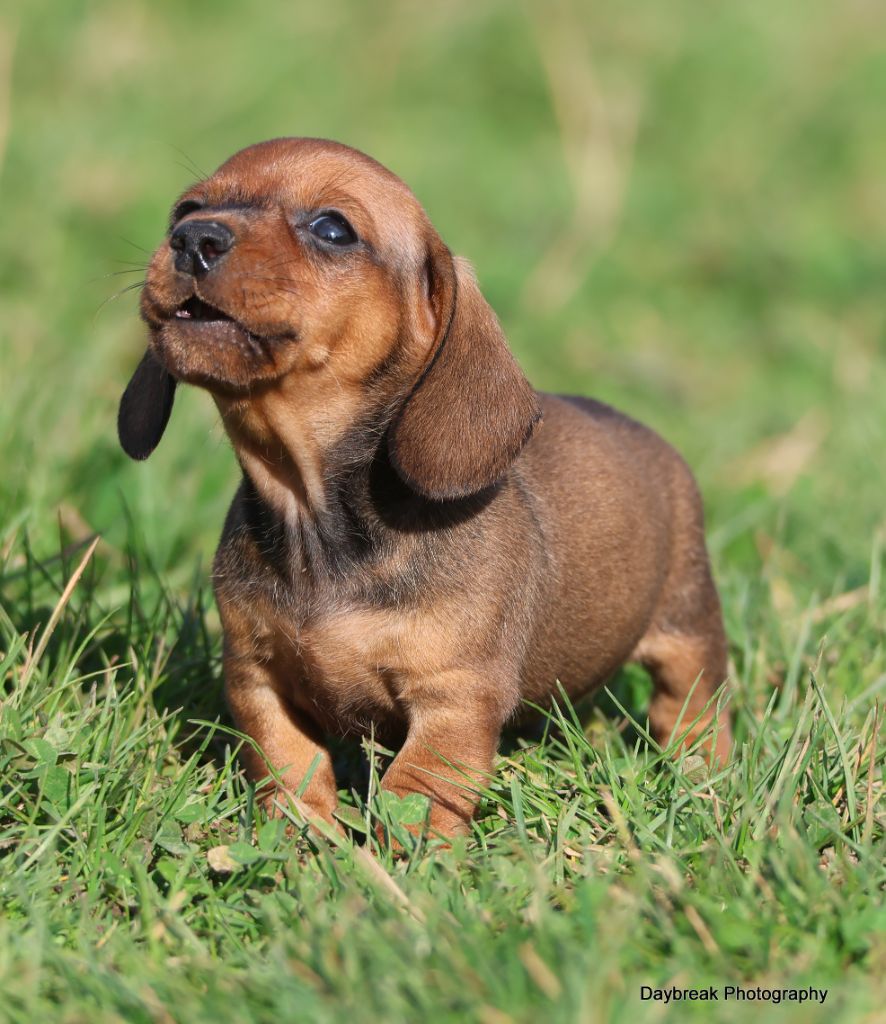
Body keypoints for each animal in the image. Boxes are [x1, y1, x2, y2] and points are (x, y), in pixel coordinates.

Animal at [119, 138, 733, 839]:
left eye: (333, 228)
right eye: (185, 209)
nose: (193, 239)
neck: (314, 511)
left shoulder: (455, 698)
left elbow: (416, 788)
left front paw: (411, 859)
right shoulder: (256, 677)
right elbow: (288, 766)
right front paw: (299, 842)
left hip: (689, 625)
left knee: (691, 707)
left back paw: (704, 778)